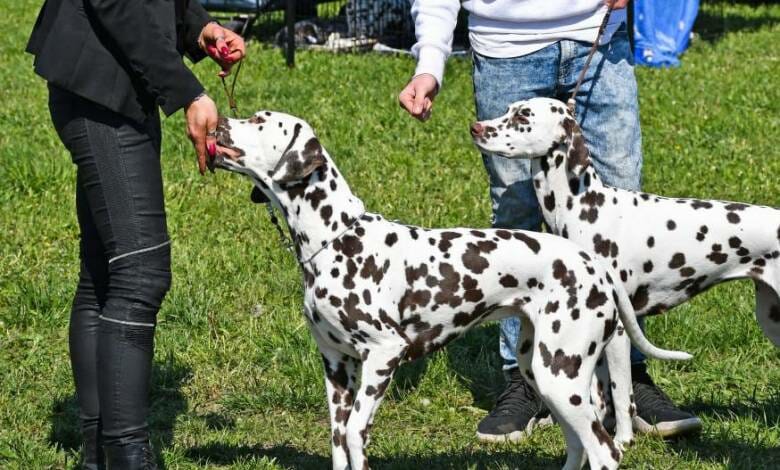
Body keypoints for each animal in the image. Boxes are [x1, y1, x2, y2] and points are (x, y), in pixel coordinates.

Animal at [212, 111, 688, 470]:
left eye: (259, 120)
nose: (216, 123)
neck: (337, 238)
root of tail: (592, 264)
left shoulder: (383, 355)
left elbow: (355, 436)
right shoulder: (336, 366)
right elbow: (338, 442)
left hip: (560, 375)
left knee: (604, 450)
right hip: (542, 373)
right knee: (578, 446)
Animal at [470, 95, 780, 434]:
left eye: (524, 116)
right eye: (509, 109)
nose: (475, 127)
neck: (582, 206)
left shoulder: (617, 330)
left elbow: (620, 394)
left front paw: (621, 439)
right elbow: (598, 395)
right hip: (771, 318)